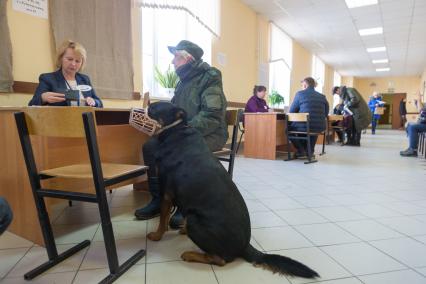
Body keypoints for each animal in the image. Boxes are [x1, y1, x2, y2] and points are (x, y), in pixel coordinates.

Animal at [145, 102, 318, 280]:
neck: (176, 129)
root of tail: (245, 246)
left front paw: (156, 236)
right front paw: (180, 229)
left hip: (195, 221)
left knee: (220, 260)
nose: (148, 104)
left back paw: (190, 254)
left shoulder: (166, 192)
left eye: (156, 107)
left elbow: (163, 219)